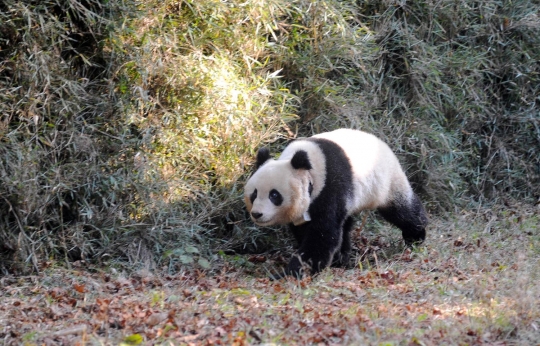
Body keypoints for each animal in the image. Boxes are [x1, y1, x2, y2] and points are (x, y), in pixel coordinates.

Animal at [244, 129, 426, 278]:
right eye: (254, 194)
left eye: (274, 195)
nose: (257, 214)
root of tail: (380, 141)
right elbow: (306, 229)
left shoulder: (330, 186)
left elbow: (323, 232)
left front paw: (291, 273)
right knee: (346, 223)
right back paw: (342, 256)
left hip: (386, 181)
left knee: (401, 209)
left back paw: (416, 235)